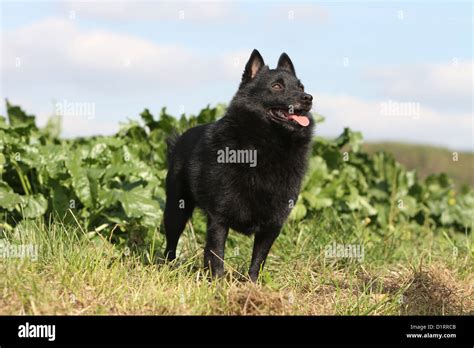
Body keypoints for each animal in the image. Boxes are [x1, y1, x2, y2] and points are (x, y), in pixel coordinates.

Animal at [164, 49, 314, 282]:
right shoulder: (219, 218)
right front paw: (217, 283)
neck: (265, 147)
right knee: (171, 242)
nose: (308, 98)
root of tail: (180, 138)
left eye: (301, 87)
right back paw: (167, 268)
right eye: (276, 86)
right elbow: (216, 255)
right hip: (175, 209)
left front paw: (252, 286)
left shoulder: (273, 224)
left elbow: (258, 261)